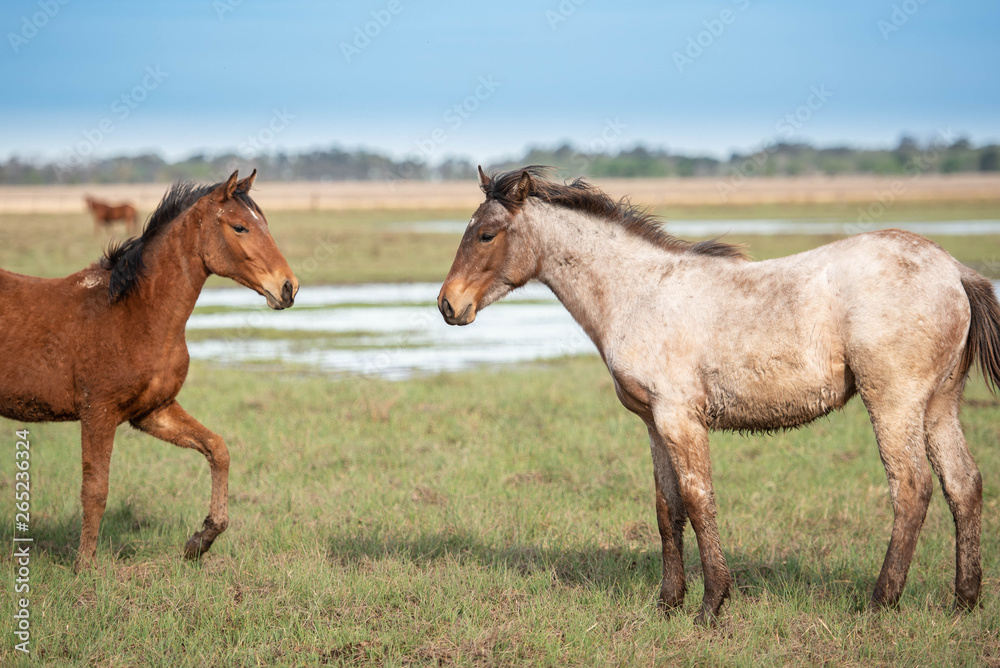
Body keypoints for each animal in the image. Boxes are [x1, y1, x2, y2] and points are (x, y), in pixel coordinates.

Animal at [1, 170, 298, 571]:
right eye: (240, 227)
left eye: (264, 223)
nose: (288, 287)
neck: (135, 314)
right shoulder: (98, 413)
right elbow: (95, 490)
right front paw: (84, 569)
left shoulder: (152, 411)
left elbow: (217, 449)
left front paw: (200, 540)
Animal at [437, 166, 1000, 624]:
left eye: (486, 233)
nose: (447, 305)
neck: (638, 292)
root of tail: (955, 271)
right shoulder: (653, 422)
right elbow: (667, 509)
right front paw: (668, 603)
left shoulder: (679, 417)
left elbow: (698, 499)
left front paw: (712, 605)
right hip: (939, 405)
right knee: (963, 484)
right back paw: (964, 601)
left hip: (892, 401)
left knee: (912, 488)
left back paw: (880, 602)